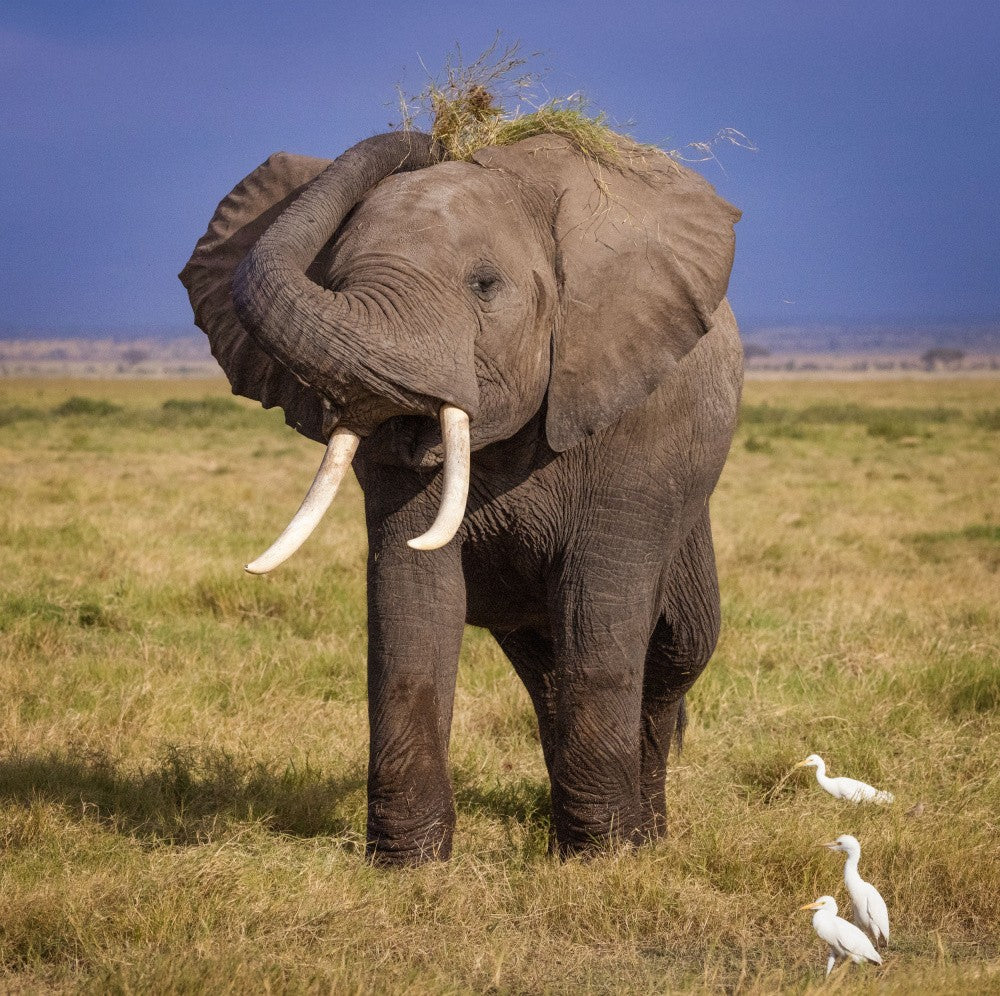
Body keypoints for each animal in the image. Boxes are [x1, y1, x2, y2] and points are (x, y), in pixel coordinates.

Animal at [180, 128, 743, 865]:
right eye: (330, 280)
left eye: (484, 285)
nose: (429, 139)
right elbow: (413, 598)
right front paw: (408, 864)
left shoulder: (636, 428)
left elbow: (598, 611)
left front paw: (601, 860)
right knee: (545, 671)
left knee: (674, 651)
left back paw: (644, 837)